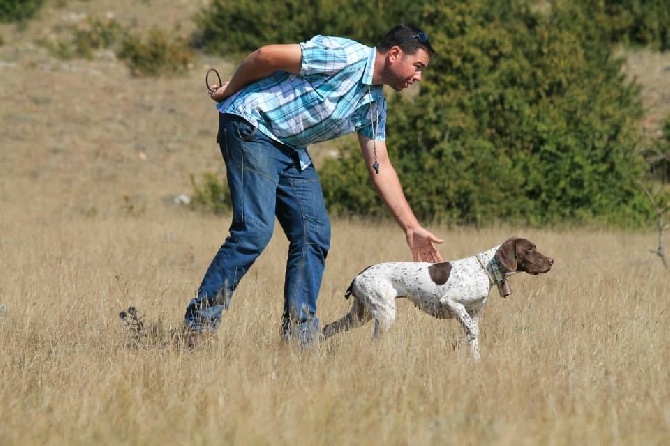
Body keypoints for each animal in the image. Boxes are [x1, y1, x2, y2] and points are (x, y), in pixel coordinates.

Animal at [322, 237, 552, 358]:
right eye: (530, 249)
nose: (552, 261)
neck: (486, 268)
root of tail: (359, 275)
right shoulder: (451, 302)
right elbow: (472, 331)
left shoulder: (473, 314)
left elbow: (473, 338)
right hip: (384, 314)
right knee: (374, 341)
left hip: (360, 315)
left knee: (328, 328)